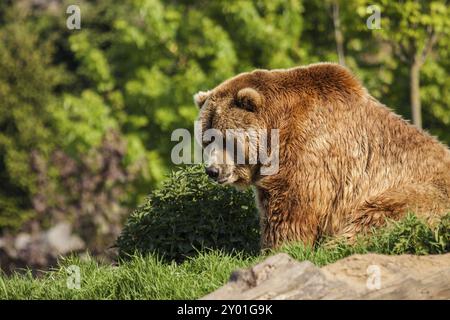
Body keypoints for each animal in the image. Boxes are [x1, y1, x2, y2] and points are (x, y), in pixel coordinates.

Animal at [195, 62, 450, 248]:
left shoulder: (309, 148)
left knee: (376, 216)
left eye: (226, 138)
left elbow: (290, 206)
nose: (213, 170)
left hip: (420, 194)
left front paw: (279, 247)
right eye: (207, 139)